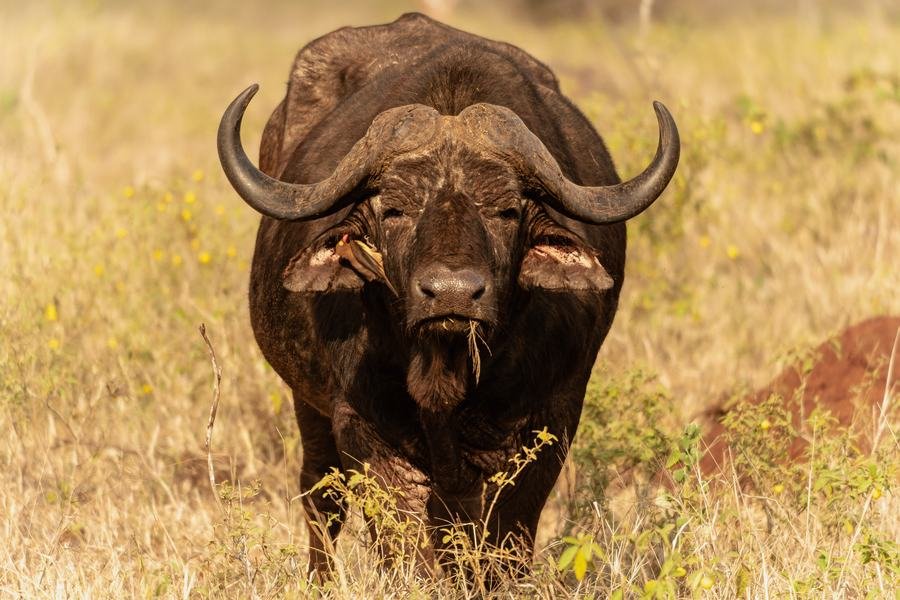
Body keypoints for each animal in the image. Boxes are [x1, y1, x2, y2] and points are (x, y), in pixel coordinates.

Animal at [216, 13, 679, 576]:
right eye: (394, 209)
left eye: (506, 210)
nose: (452, 295)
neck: (443, 371)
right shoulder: (362, 426)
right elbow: (402, 536)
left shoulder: (551, 421)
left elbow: (505, 535)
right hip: (308, 406)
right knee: (321, 496)